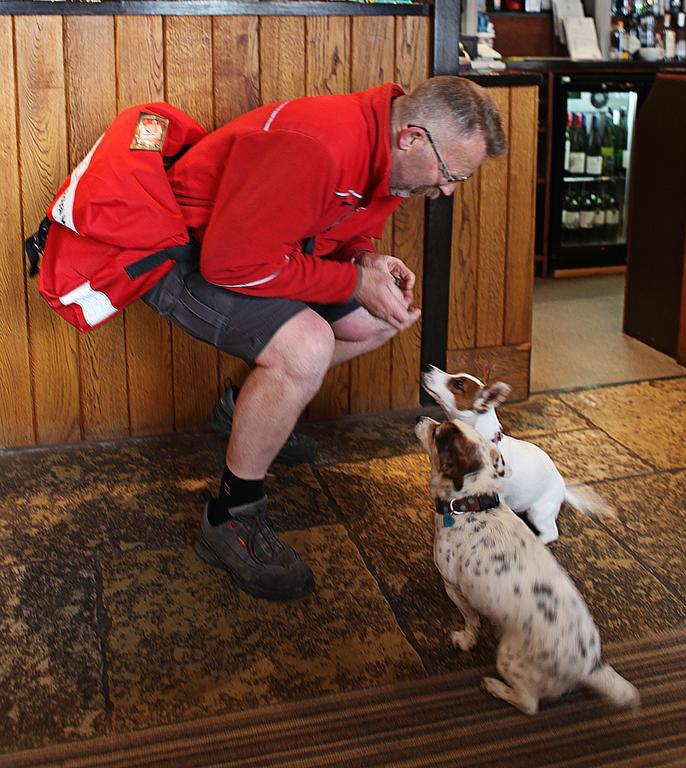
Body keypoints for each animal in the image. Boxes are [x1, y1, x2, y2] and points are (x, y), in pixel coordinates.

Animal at [414, 414, 640, 712]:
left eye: (437, 433)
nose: (420, 417)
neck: (473, 503)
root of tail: (590, 667)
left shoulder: (453, 586)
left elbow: (471, 621)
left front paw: (465, 640)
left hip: (508, 656)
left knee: (529, 703)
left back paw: (495, 686)